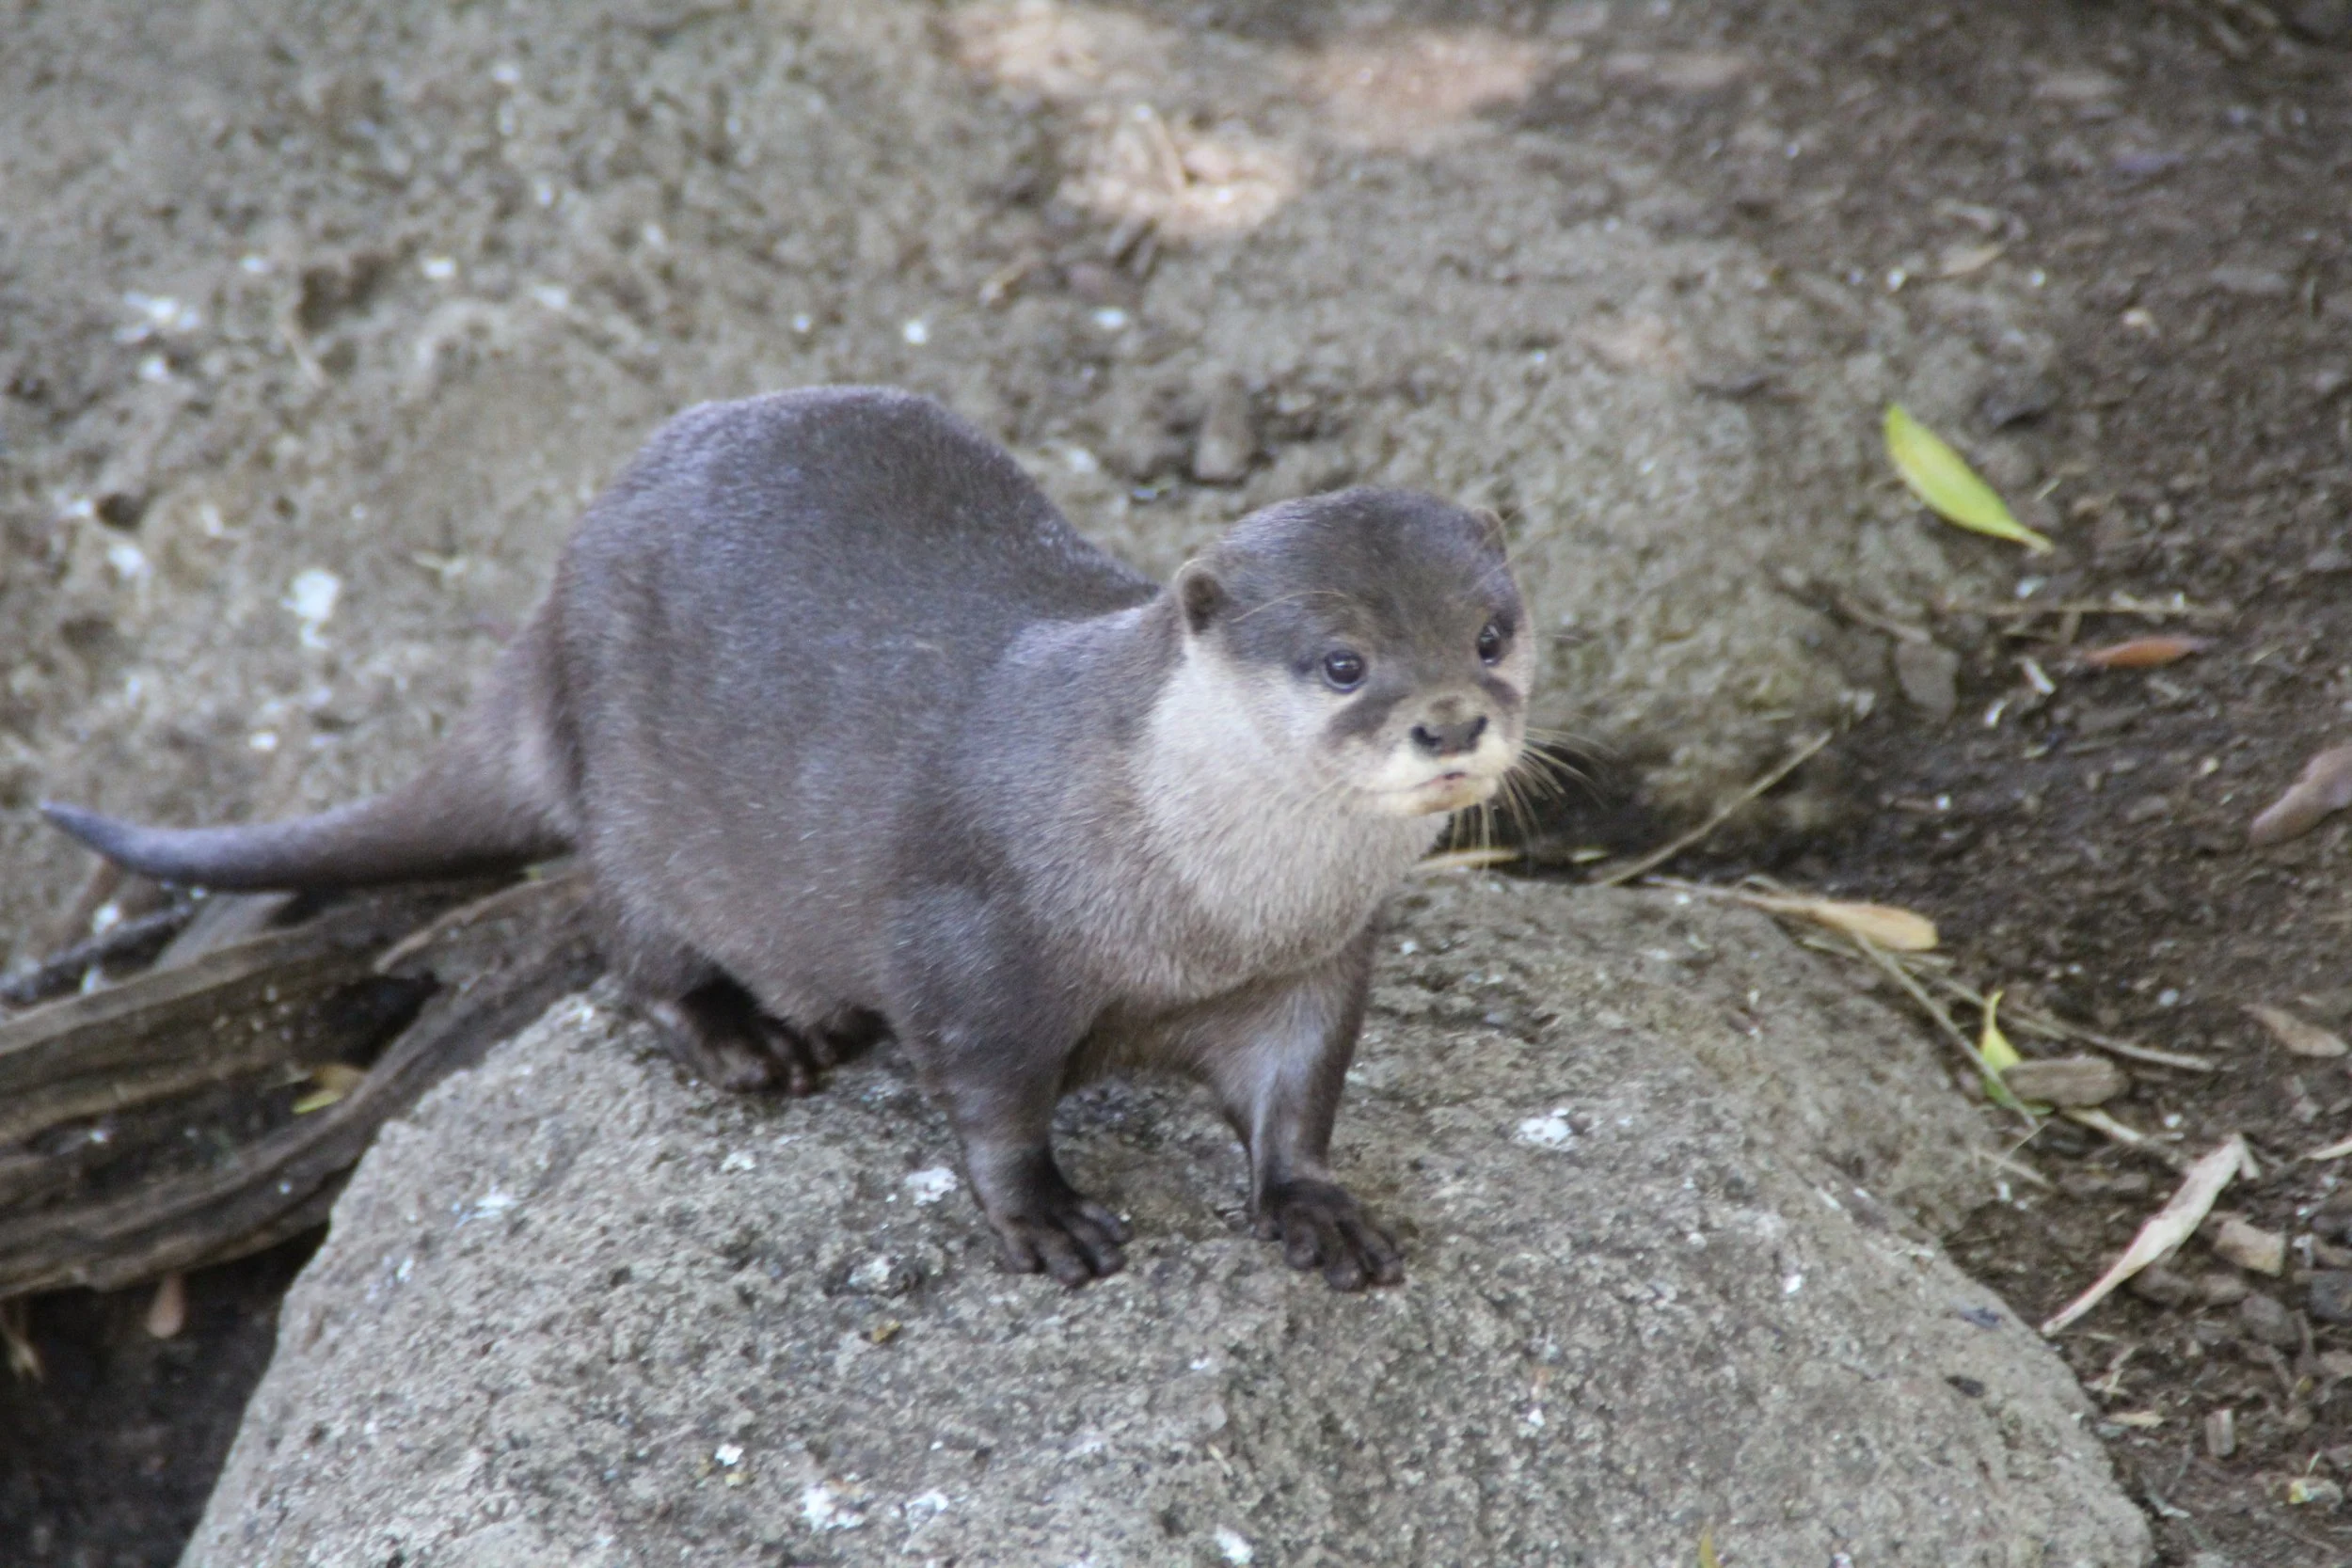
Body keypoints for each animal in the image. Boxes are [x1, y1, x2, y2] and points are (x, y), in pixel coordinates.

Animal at [44, 387, 1532, 1290]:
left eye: (1490, 632)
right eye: (1341, 662)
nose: (1453, 719)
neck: (1202, 910)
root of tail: (550, 604)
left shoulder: (1312, 964)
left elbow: (1300, 1097)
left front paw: (1318, 1207)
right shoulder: (971, 944)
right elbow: (991, 1100)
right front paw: (1046, 1216)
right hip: (639, 814)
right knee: (629, 943)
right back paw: (753, 1039)